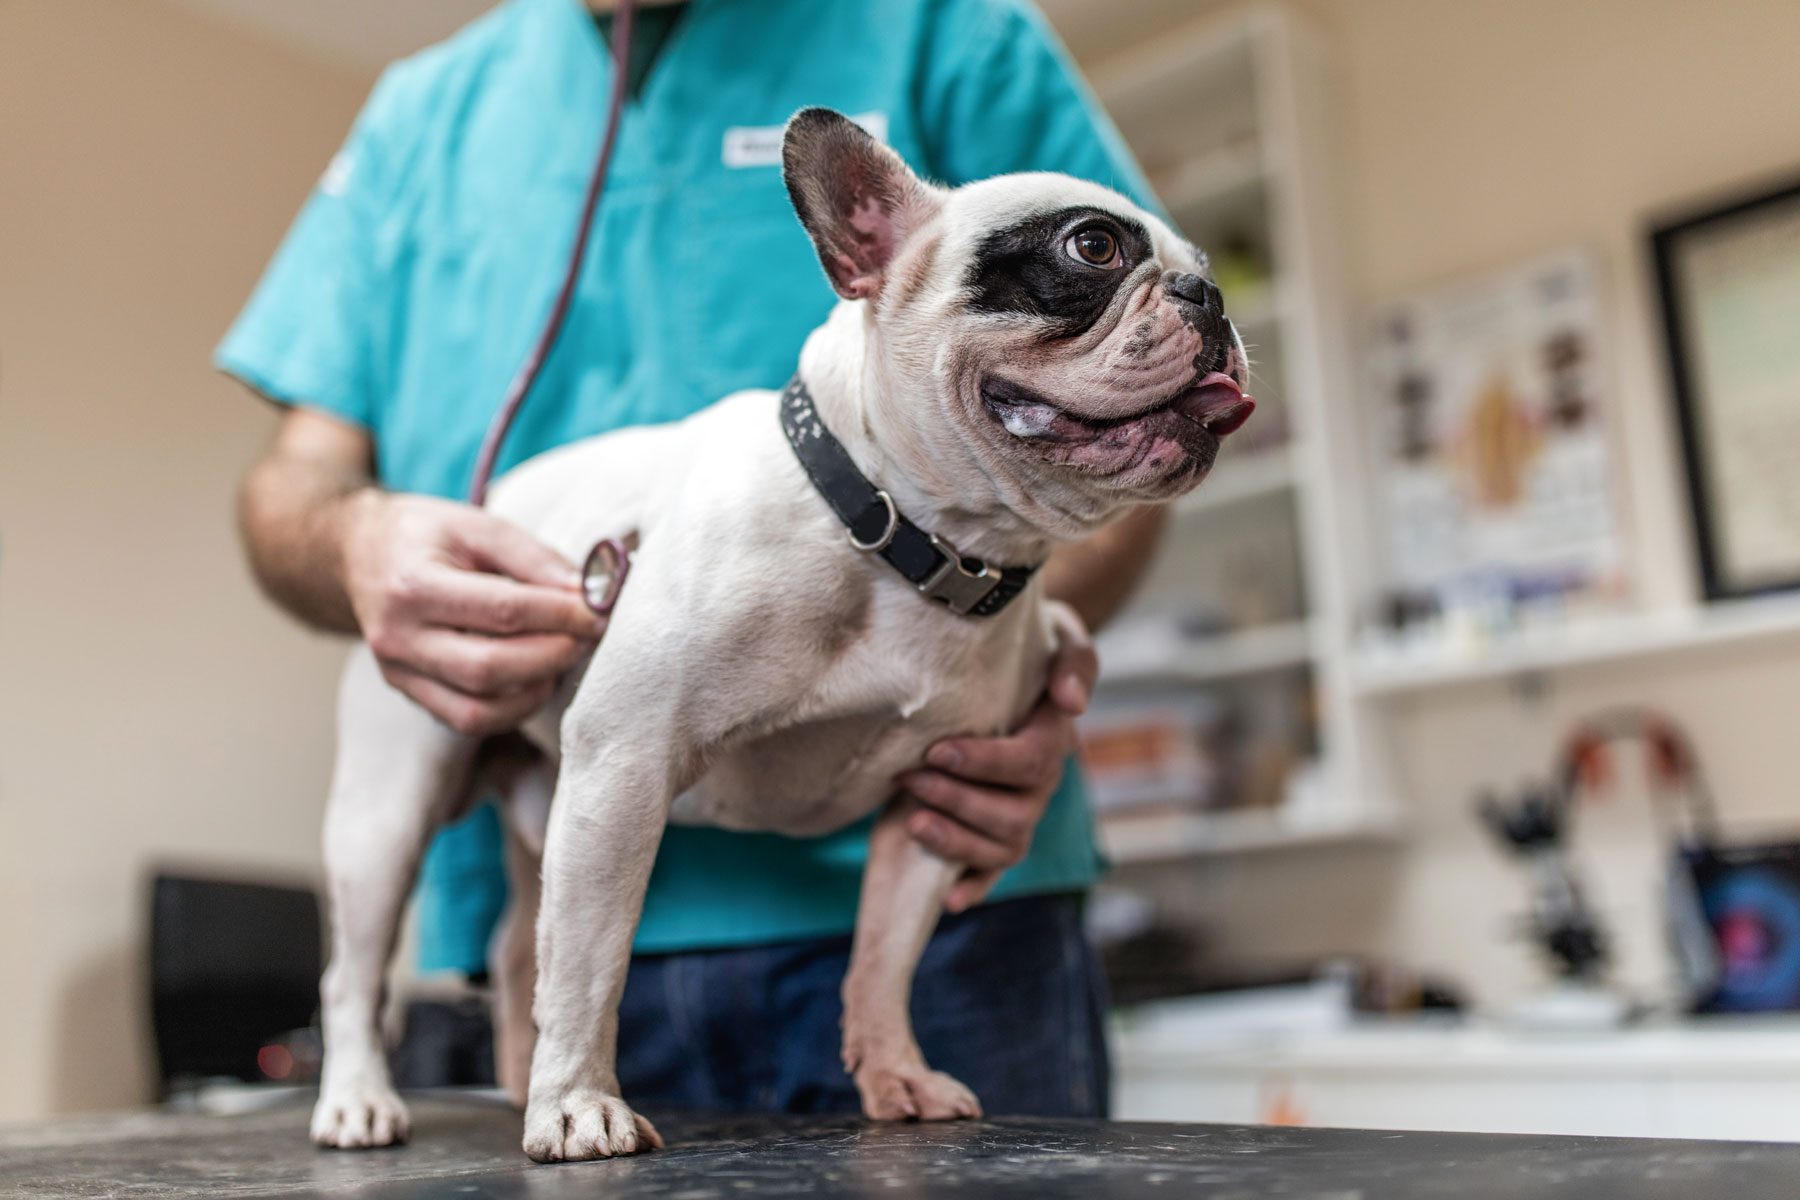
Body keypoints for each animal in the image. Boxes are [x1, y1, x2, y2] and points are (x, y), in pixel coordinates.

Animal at [309, 105, 1245, 1165]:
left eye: (1202, 263)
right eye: (1093, 247)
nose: (1211, 294)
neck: (905, 535)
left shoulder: (933, 804)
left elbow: (883, 957)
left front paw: (894, 1073)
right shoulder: (625, 766)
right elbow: (594, 960)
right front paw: (580, 1106)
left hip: (542, 801)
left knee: (516, 945)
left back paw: (515, 1083)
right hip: (389, 813)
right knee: (359, 974)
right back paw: (362, 1101)